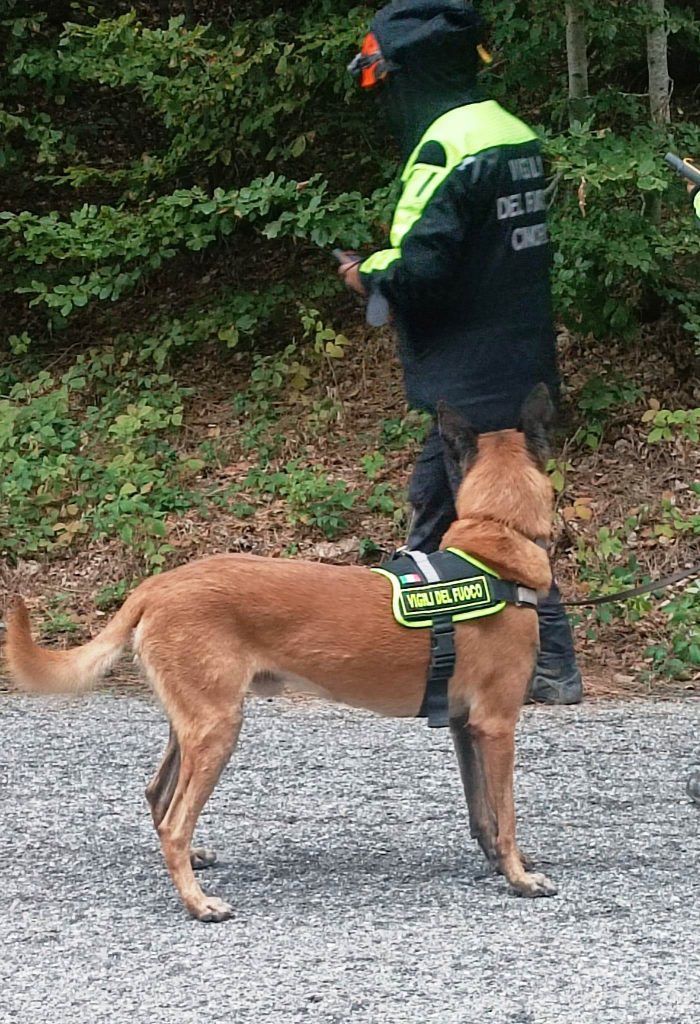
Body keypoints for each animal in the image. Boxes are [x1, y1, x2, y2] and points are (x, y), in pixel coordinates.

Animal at [2, 382, 556, 921]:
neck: (496, 541)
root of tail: (156, 586)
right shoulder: (496, 724)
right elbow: (506, 813)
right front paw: (519, 878)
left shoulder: (464, 725)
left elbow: (482, 814)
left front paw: (501, 863)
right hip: (218, 728)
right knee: (175, 821)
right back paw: (198, 903)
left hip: (192, 723)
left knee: (159, 797)